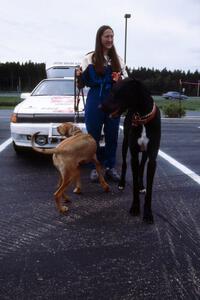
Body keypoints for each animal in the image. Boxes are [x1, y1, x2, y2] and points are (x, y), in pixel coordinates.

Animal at [101, 77, 161, 223]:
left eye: (115, 91)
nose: (100, 107)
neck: (143, 117)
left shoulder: (152, 158)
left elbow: (149, 188)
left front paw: (148, 213)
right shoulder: (133, 154)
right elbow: (132, 179)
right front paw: (135, 207)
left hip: (144, 153)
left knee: (141, 167)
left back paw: (141, 186)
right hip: (125, 145)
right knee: (124, 164)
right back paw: (122, 183)